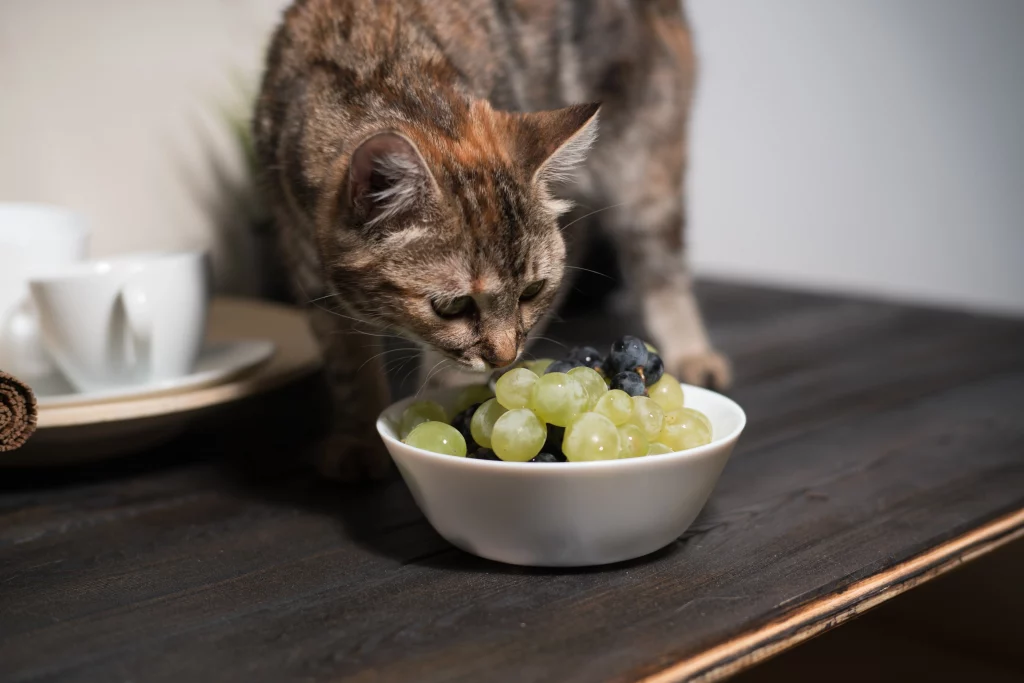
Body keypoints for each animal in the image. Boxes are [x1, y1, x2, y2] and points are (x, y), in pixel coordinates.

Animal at [253, 0, 729, 481]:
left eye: (532, 290)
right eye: (450, 306)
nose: (504, 359)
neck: (380, 66)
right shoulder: (305, 261)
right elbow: (347, 367)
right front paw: (358, 441)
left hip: (646, 160)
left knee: (660, 265)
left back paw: (692, 352)